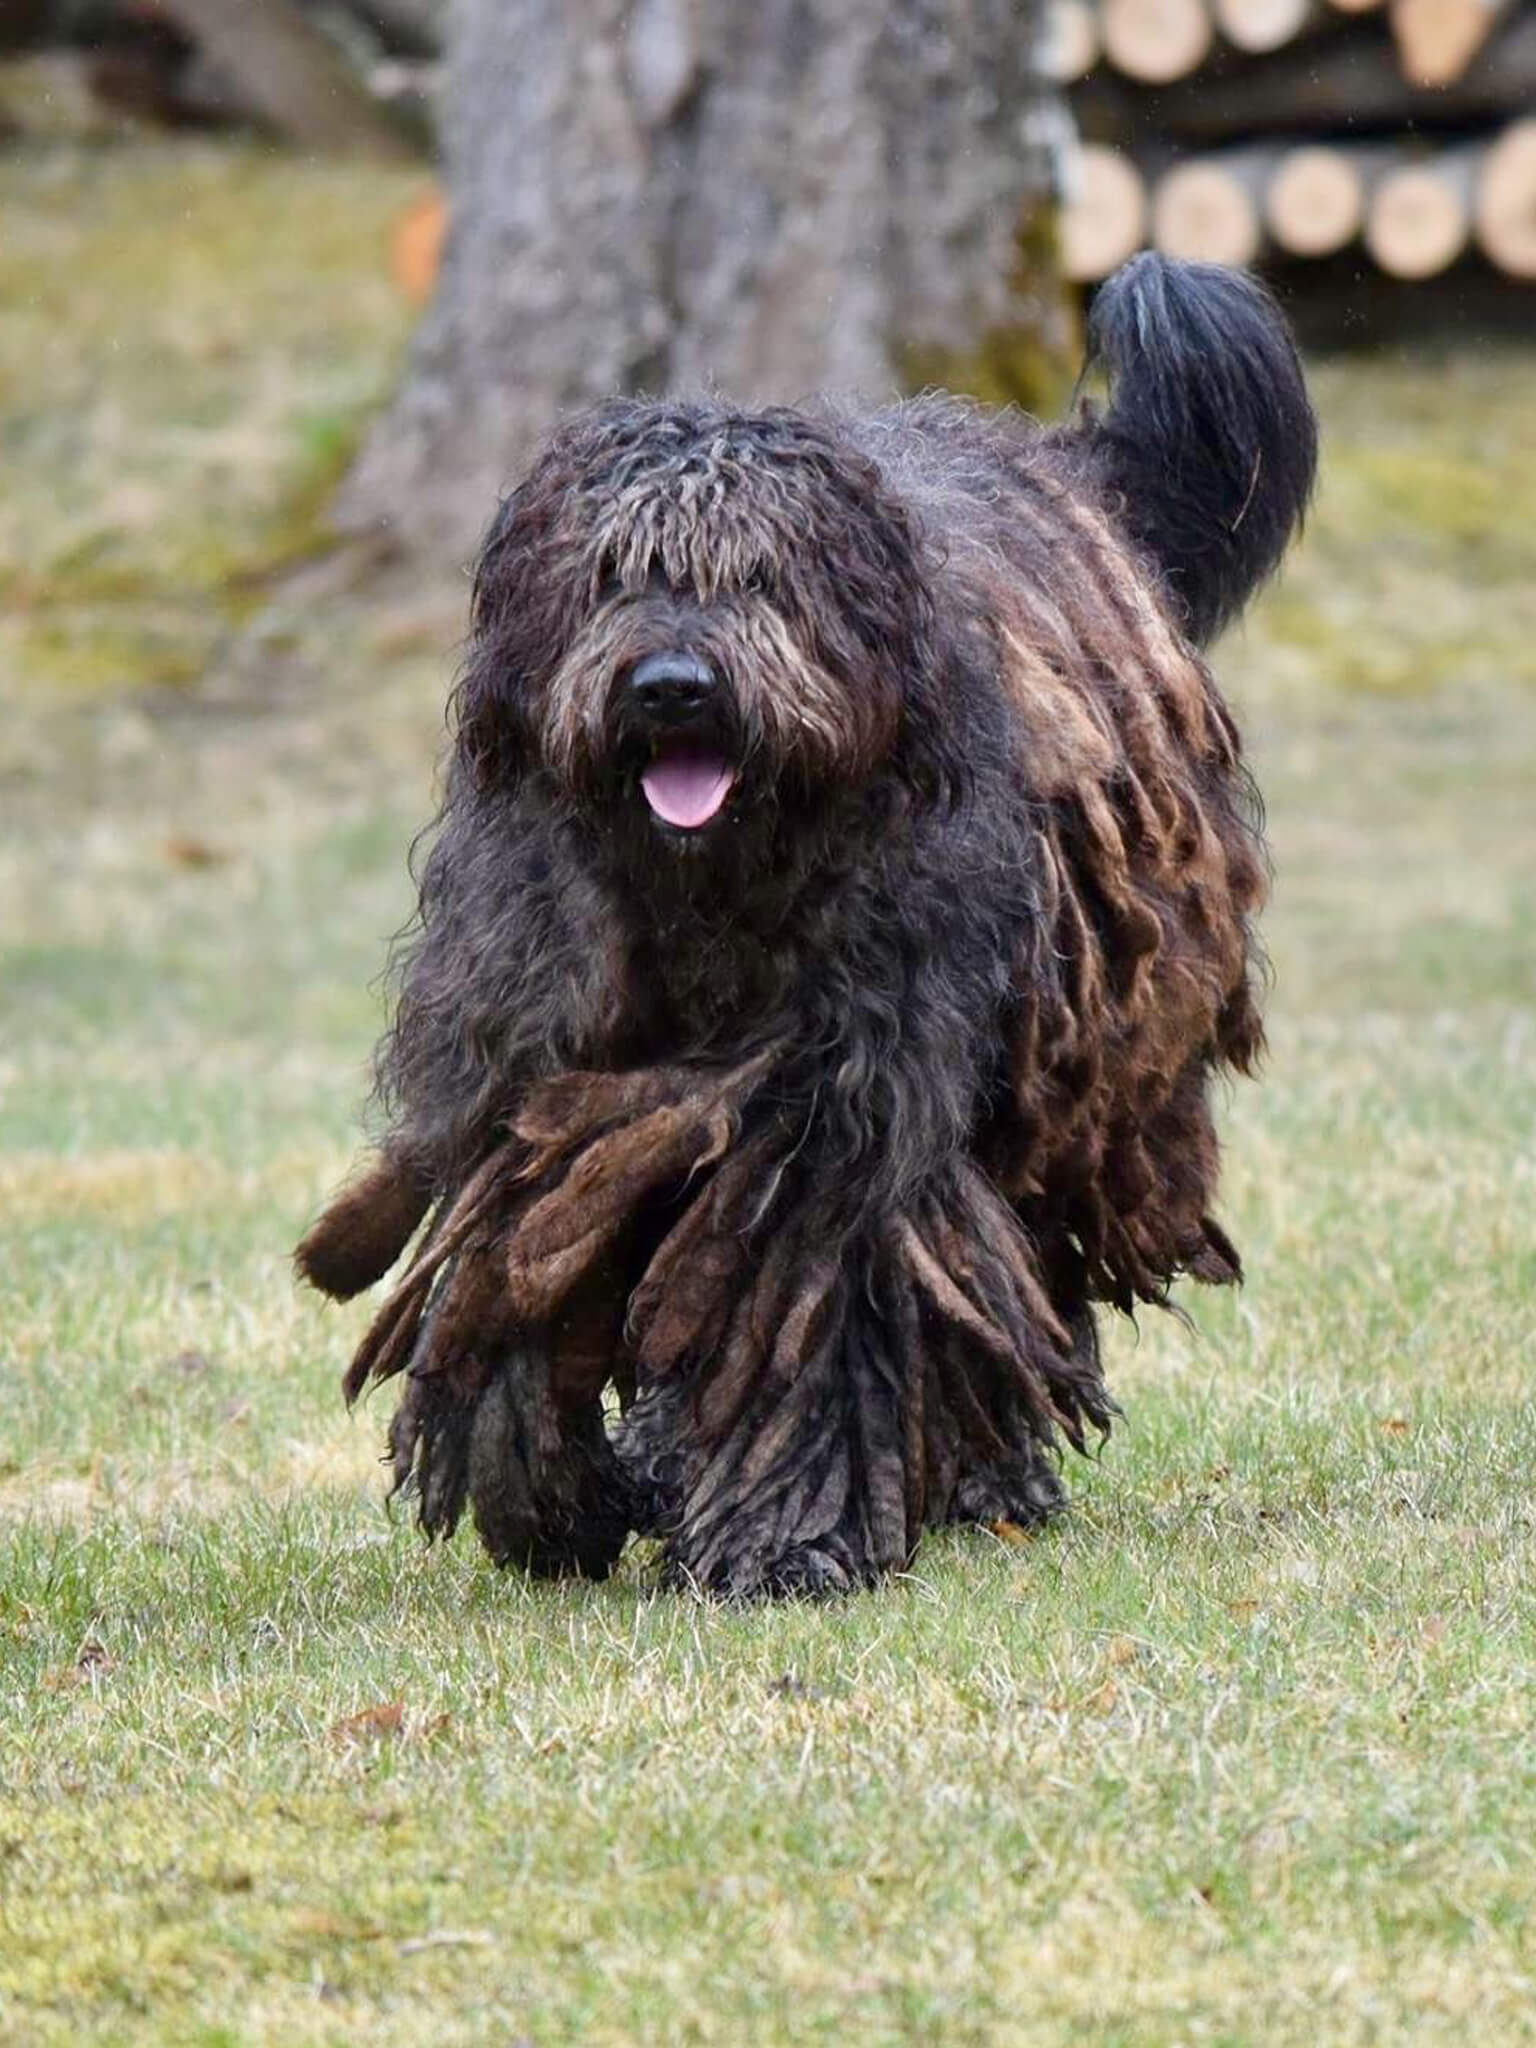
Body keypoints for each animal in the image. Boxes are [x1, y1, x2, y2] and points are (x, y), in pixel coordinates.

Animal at [301, 256, 1327, 1597]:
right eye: (610, 575)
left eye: (761, 577)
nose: (671, 687)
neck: (708, 890)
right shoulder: (539, 1066)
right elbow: (525, 1263)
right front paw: (556, 1497)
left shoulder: (834, 1110)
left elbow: (815, 1312)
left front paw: (780, 1539)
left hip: (1067, 1066)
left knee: (1010, 1265)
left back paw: (989, 1478)